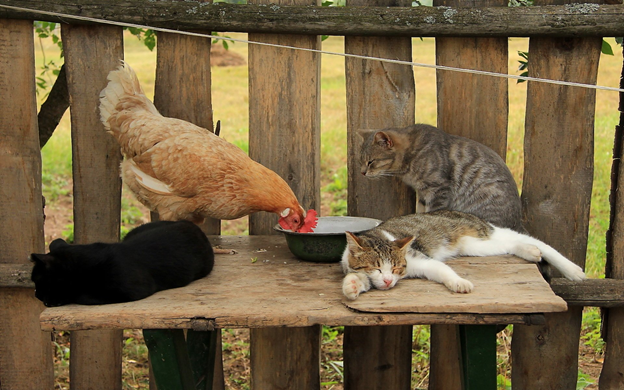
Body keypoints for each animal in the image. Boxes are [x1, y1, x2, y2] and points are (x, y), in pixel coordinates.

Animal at [342, 210, 584, 298]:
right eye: (376, 268)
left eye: (396, 268)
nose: (388, 280)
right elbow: (359, 278)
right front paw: (352, 285)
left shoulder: (419, 258)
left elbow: (441, 269)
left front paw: (459, 283)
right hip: (473, 245)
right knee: (511, 244)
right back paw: (530, 252)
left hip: (482, 233)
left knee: (524, 239)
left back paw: (572, 269)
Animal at [358, 123, 524, 232]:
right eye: (361, 161)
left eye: (370, 161)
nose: (362, 172)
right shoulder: (422, 193)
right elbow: (421, 211)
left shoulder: (438, 188)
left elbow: (433, 212)